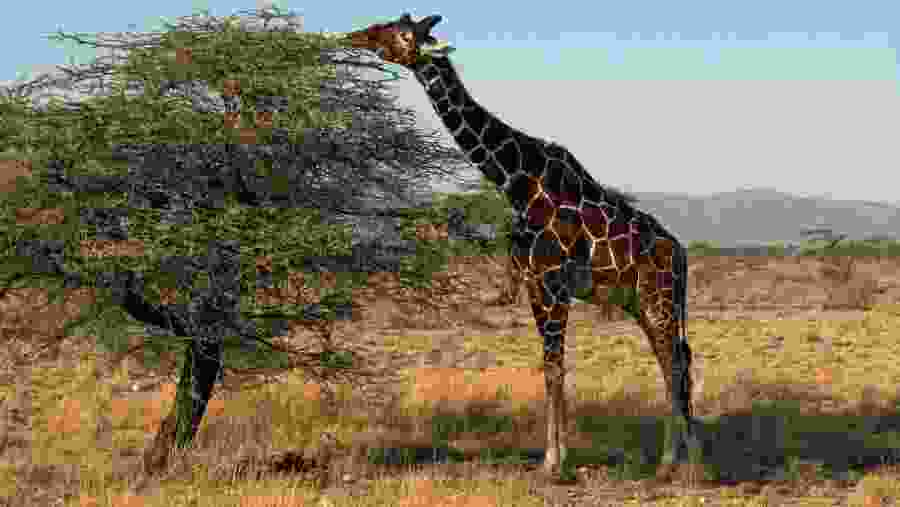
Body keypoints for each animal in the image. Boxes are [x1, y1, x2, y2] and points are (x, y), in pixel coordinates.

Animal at [346, 13, 701, 478]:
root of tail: (681, 254)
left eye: (404, 33)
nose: (358, 36)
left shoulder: (551, 284)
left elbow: (554, 368)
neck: (515, 183)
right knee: (673, 361)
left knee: (675, 362)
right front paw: (554, 458)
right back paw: (677, 459)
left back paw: (680, 465)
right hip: (642, 303)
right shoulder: (534, 282)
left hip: (658, 299)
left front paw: (554, 463)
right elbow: (550, 367)